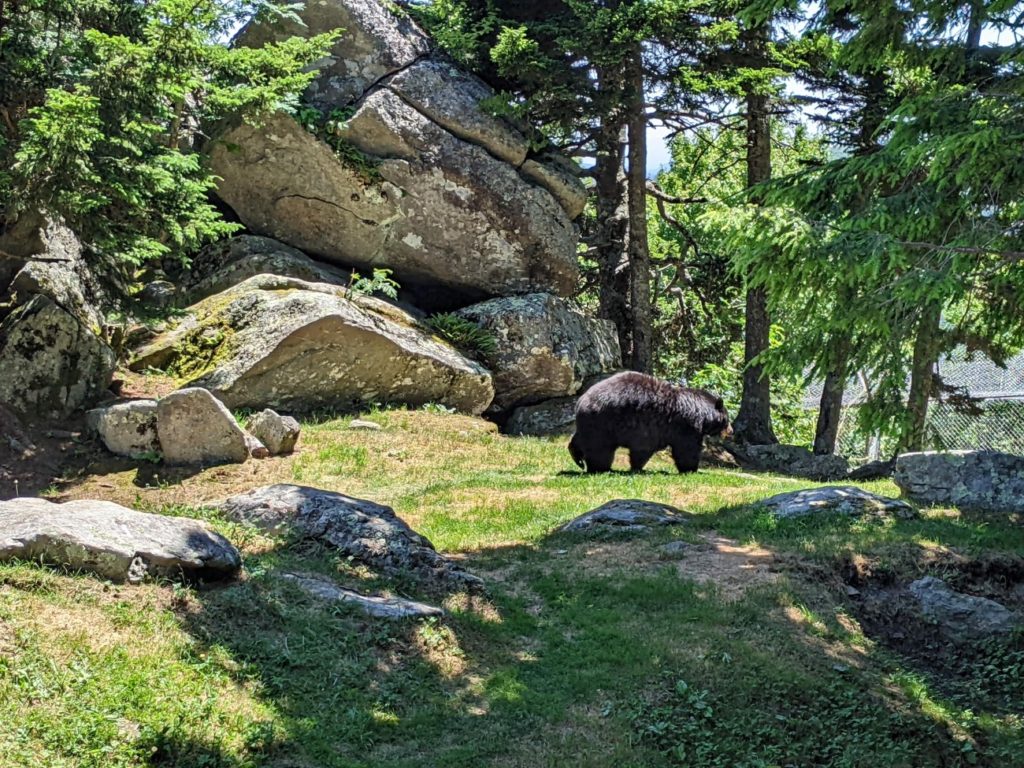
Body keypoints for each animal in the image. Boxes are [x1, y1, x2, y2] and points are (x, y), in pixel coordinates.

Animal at [569, 372, 729, 475]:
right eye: (727, 420)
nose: (731, 431)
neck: (702, 414)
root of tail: (581, 400)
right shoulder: (683, 426)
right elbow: (686, 449)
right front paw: (691, 468)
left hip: (591, 423)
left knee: (579, 439)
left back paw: (578, 458)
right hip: (603, 422)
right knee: (600, 449)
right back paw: (600, 468)